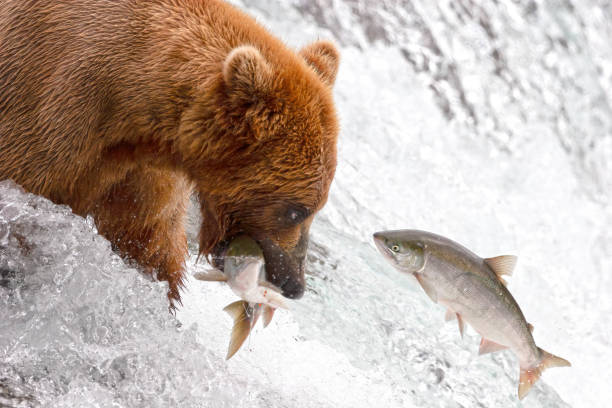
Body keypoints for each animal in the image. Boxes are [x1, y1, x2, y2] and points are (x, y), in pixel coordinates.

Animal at [0, 0, 340, 306]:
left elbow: (150, 246)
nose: (294, 284)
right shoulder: (48, 113)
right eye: (296, 211)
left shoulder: (140, 175)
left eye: (316, 207)